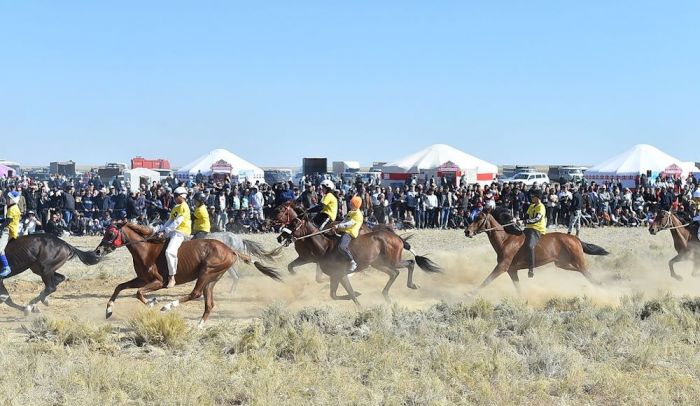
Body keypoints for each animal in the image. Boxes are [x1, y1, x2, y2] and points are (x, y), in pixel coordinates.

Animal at [95, 222, 282, 326]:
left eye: (110, 233)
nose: (97, 251)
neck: (146, 249)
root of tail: (231, 249)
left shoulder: (158, 282)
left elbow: (138, 293)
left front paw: (152, 302)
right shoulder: (142, 279)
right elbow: (120, 287)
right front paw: (108, 310)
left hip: (206, 272)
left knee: (195, 294)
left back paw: (168, 306)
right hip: (211, 280)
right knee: (209, 303)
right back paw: (199, 325)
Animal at [272, 202, 438, 304]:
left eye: (294, 222)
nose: (280, 237)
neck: (325, 247)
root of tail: (397, 237)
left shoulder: (340, 273)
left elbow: (350, 294)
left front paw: (359, 302)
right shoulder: (334, 275)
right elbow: (334, 295)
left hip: (392, 260)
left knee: (410, 263)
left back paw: (410, 285)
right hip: (378, 264)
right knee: (395, 273)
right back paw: (388, 295)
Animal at [464, 209, 608, 294]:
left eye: (479, 218)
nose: (467, 231)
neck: (506, 240)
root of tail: (574, 238)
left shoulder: (502, 267)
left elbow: (486, 281)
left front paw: (470, 294)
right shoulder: (512, 271)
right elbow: (518, 289)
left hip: (578, 262)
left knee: (588, 274)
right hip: (562, 264)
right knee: (580, 272)